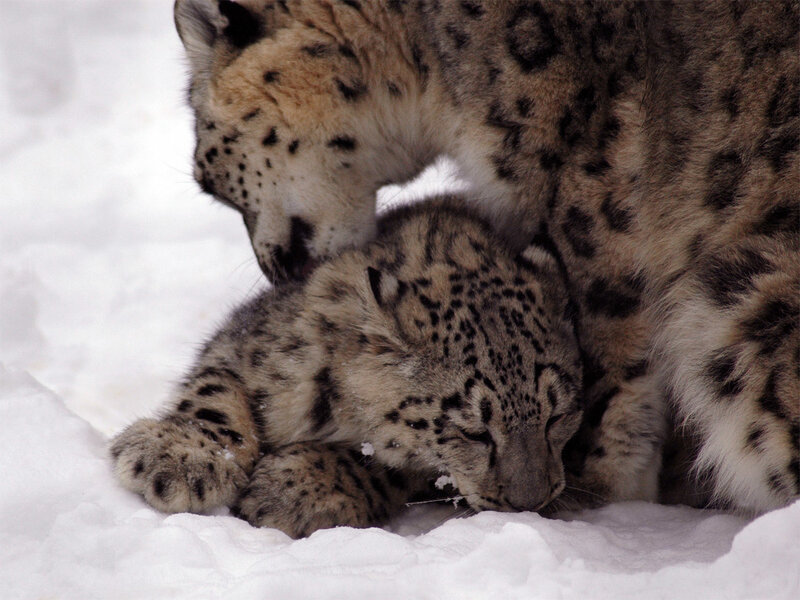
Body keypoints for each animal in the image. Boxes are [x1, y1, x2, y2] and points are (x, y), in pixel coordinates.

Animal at [111, 199, 584, 537]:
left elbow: (385, 465)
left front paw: (286, 491)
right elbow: (214, 388)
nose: (531, 503)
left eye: (558, 415)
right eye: (473, 431)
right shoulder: (244, 344)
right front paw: (181, 459)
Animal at [170, 0, 799, 516]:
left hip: (732, 301)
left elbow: (608, 351)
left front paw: (598, 477)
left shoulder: (586, 193)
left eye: (209, 177)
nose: (275, 272)